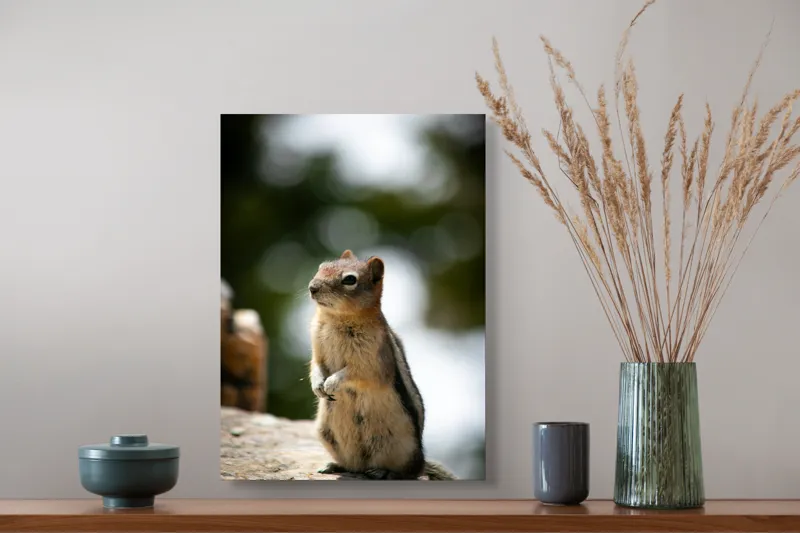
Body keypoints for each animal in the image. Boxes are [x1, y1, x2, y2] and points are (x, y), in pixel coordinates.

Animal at [306, 250, 457, 480]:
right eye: (322, 266)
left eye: (349, 280)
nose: (312, 287)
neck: (336, 319)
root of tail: (421, 463)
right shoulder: (317, 351)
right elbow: (315, 366)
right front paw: (317, 385)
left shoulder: (372, 361)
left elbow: (356, 373)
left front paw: (332, 383)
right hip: (325, 433)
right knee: (353, 466)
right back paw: (334, 466)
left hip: (399, 447)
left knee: (406, 472)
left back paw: (383, 471)